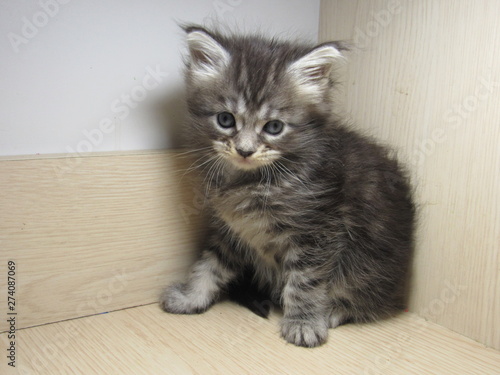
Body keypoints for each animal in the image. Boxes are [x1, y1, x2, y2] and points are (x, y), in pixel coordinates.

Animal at [160, 25, 414, 350]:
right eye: (225, 120)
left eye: (274, 127)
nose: (245, 150)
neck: (251, 182)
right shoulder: (232, 227)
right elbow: (210, 264)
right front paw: (191, 296)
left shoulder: (319, 231)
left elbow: (306, 280)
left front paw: (304, 322)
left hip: (369, 267)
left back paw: (333, 311)